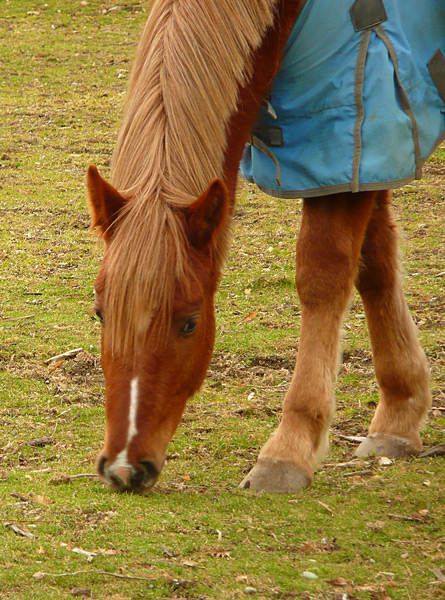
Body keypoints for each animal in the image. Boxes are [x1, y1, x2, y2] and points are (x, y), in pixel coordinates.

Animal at [87, 0, 444, 492]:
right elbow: (375, 265)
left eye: (189, 324)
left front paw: (290, 448)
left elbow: (324, 276)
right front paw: (399, 417)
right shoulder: (367, 157)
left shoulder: (350, 134)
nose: (124, 469)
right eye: (100, 314)